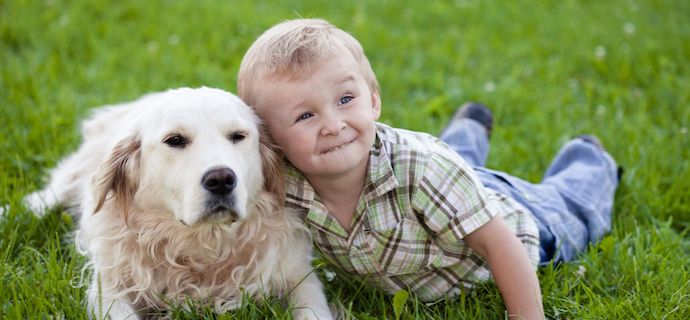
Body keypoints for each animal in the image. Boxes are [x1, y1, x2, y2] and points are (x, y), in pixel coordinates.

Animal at [24, 87, 330, 320]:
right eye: (175, 140)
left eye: (238, 136)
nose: (221, 180)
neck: (202, 246)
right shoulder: (109, 289)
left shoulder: (298, 276)